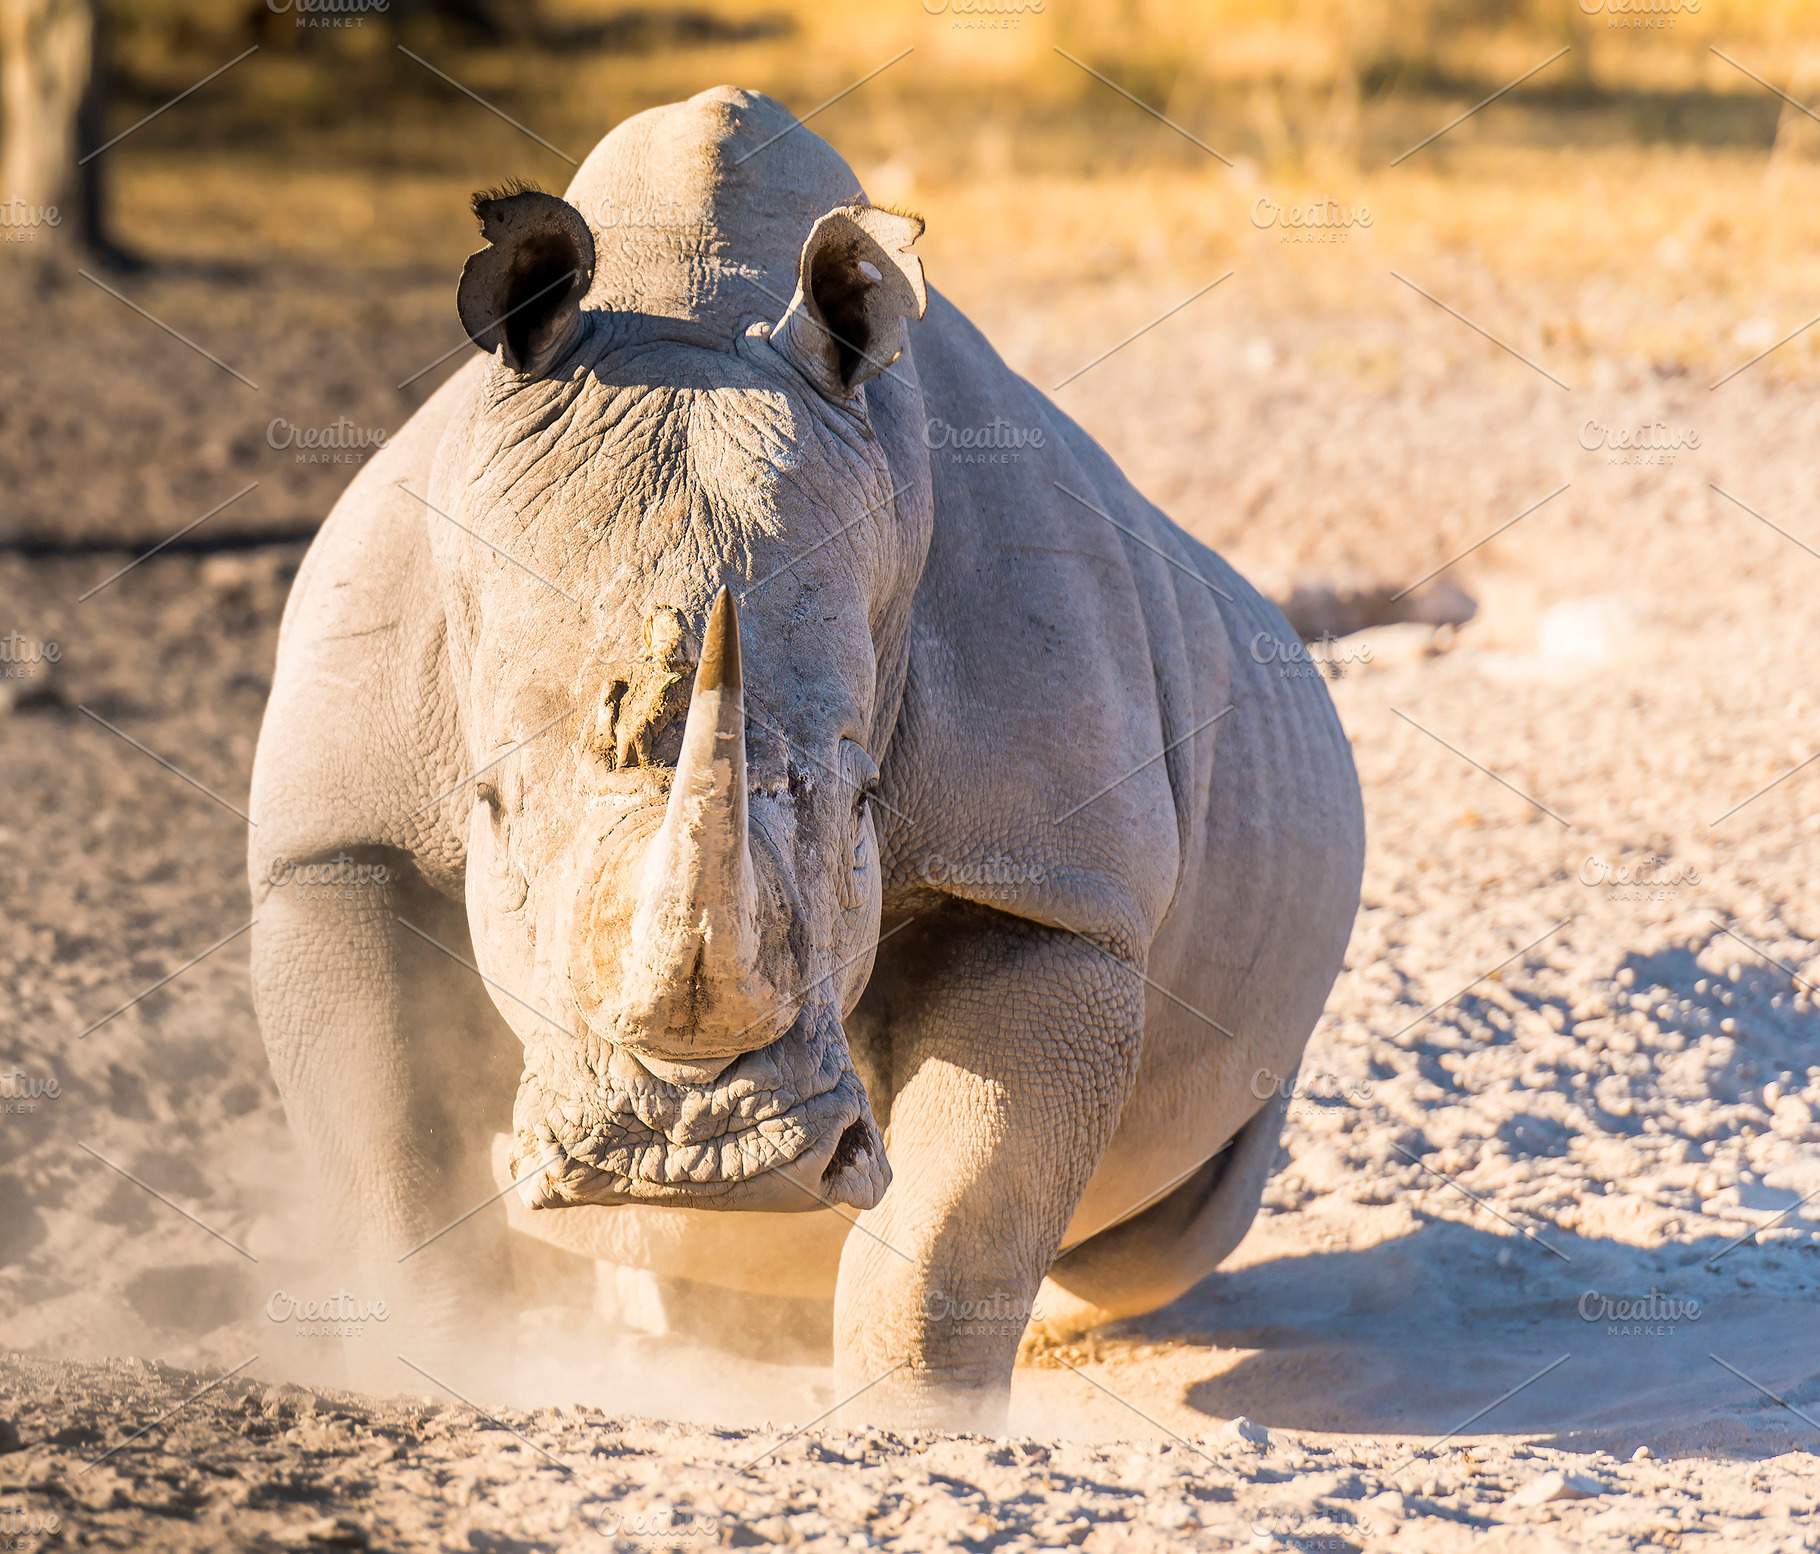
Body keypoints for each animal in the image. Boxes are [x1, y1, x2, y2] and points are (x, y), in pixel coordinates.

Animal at [248, 84, 1364, 1430]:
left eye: (865, 802)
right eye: (490, 806)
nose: (695, 1157)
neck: (688, 297)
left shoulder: (1050, 887)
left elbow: (948, 1233)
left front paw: (918, 1435)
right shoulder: (331, 840)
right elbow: (390, 1166)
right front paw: (442, 1383)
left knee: (1146, 1242)